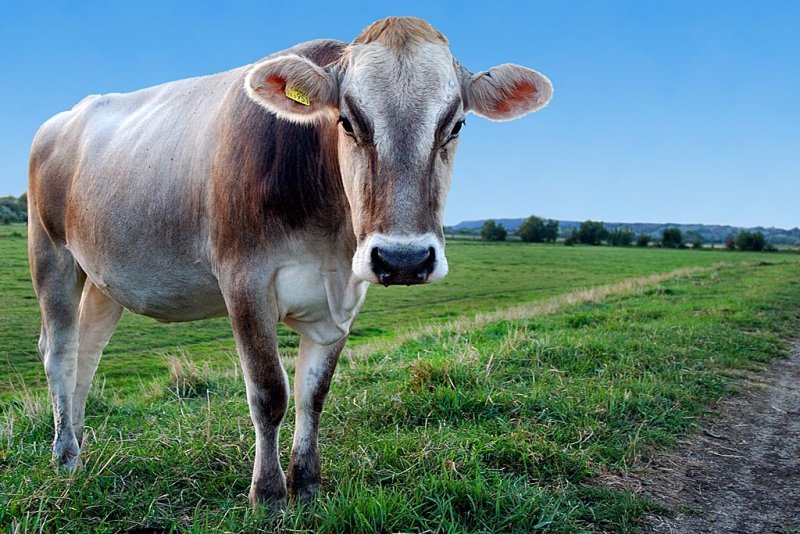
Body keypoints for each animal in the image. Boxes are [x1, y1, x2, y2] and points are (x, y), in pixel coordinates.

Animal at [26, 16, 552, 510]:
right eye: (348, 121)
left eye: (456, 124)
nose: (403, 259)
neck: (329, 239)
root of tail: (62, 120)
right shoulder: (244, 281)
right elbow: (269, 394)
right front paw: (269, 494)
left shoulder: (342, 298)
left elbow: (312, 394)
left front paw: (308, 485)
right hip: (51, 252)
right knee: (59, 352)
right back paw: (65, 457)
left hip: (103, 277)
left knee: (88, 353)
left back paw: (79, 442)